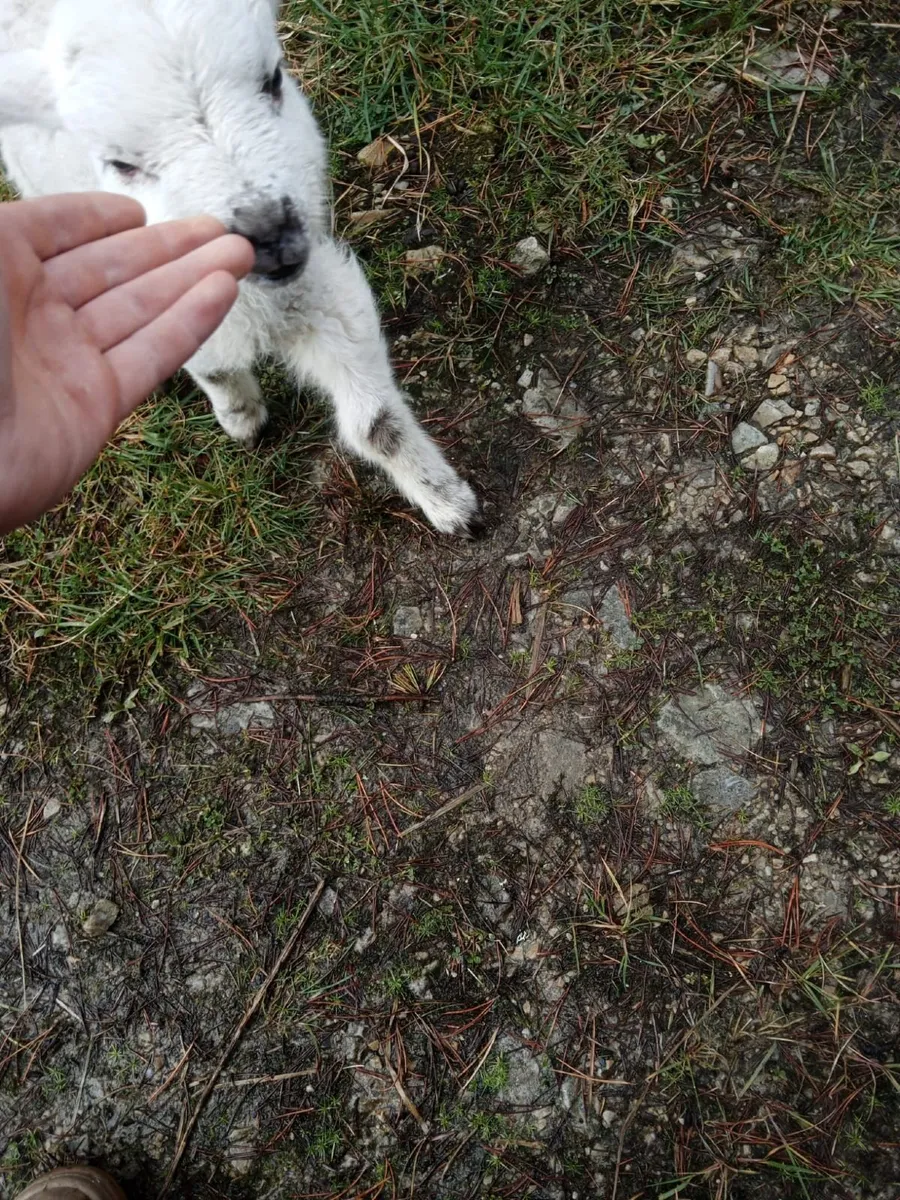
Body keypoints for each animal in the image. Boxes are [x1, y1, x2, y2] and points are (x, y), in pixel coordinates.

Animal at [0, 0, 483, 536]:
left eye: (273, 78)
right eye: (120, 164)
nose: (270, 236)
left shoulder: (322, 291)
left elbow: (377, 425)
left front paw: (448, 503)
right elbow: (210, 363)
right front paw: (241, 415)